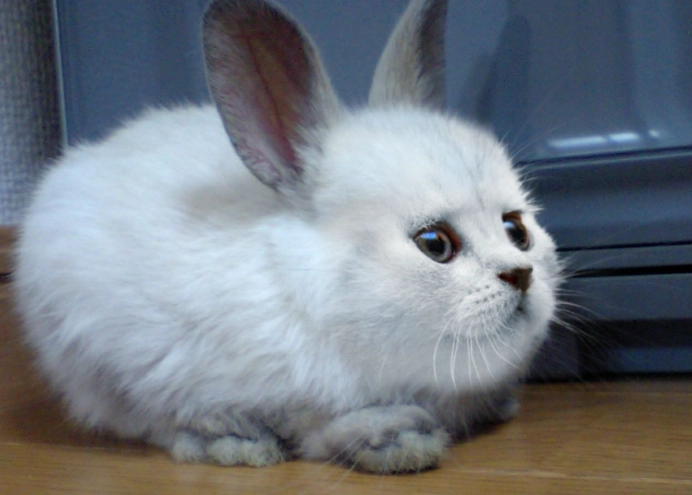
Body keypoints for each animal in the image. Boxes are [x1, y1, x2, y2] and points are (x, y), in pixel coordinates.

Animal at [14, 0, 561, 474]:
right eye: (434, 244)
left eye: (516, 229)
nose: (520, 275)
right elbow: (314, 430)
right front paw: (397, 438)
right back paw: (236, 443)